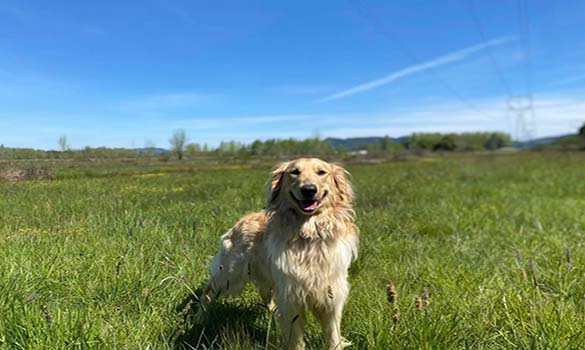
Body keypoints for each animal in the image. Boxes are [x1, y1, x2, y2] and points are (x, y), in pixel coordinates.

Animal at [200, 159, 356, 350]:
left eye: (321, 172)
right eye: (294, 172)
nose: (309, 190)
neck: (308, 235)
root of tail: (240, 221)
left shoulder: (331, 297)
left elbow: (333, 336)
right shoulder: (291, 298)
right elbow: (296, 339)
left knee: (267, 298)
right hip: (229, 276)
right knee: (207, 293)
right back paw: (199, 319)